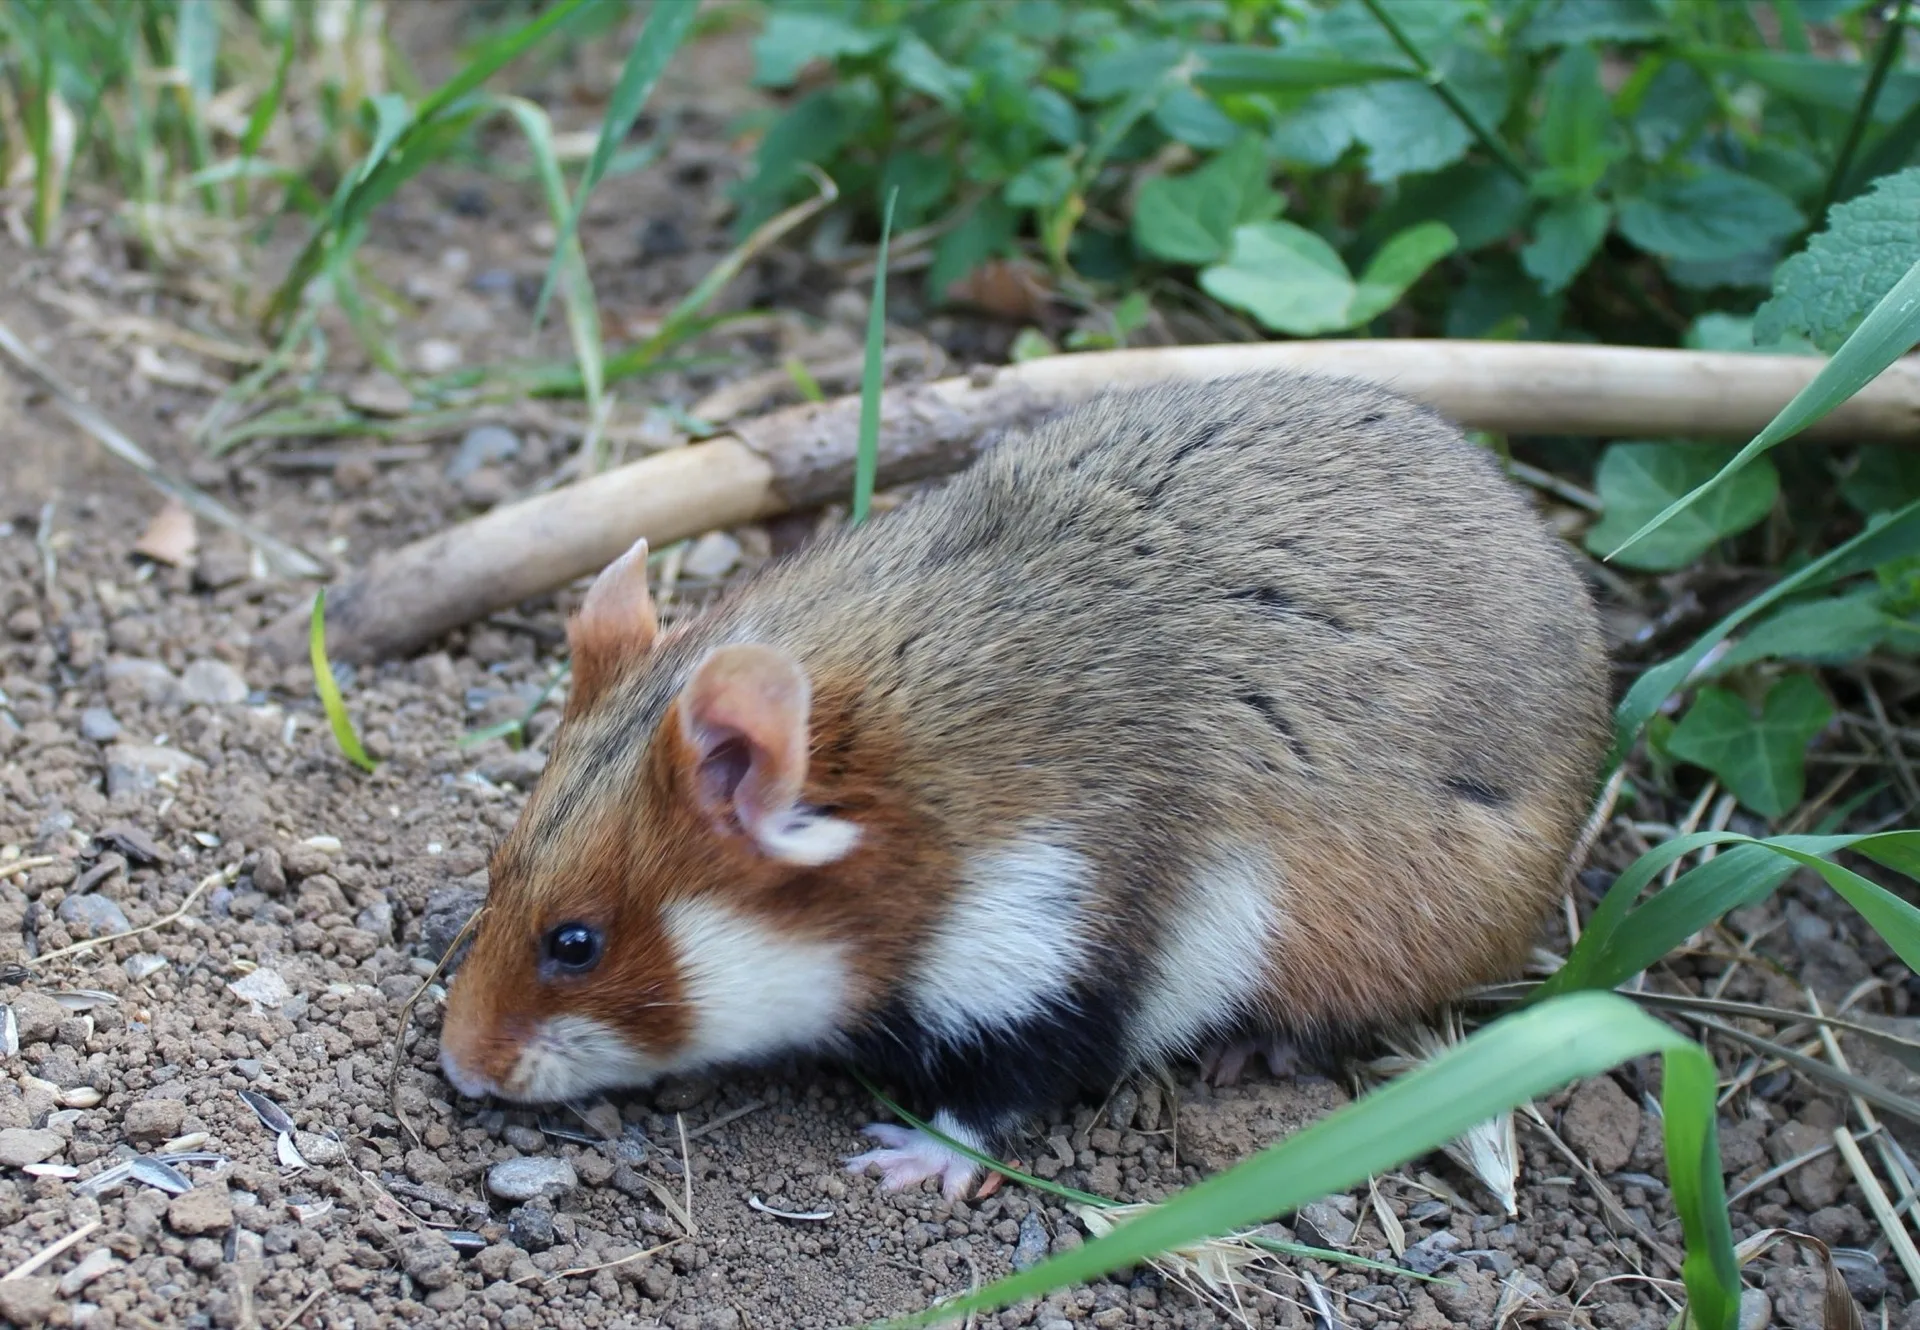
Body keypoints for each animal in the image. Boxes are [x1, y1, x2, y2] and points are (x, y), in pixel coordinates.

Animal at [437, 370, 1610, 1201]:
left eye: (575, 943)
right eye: (495, 875)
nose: (455, 1068)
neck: (910, 818)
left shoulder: (1060, 955)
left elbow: (1000, 1101)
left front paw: (901, 1159)